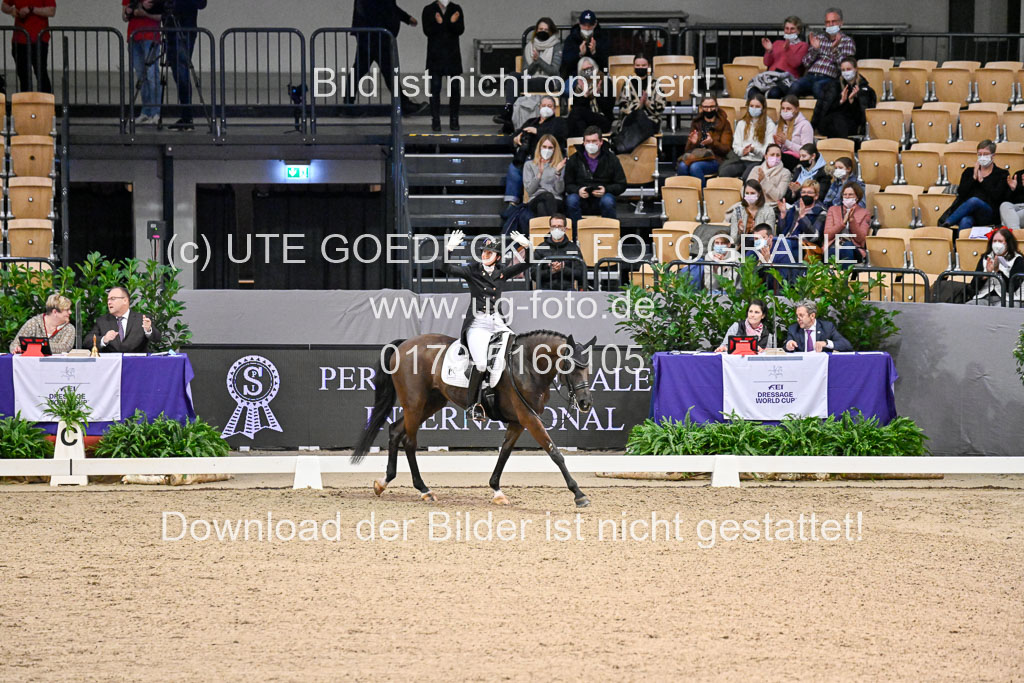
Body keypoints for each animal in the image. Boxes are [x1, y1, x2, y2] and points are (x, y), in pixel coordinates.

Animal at [350, 331, 596, 507]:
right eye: (570, 366)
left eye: (588, 368)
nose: (585, 403)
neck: (526, 365)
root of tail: (404, 344)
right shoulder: (529, 418)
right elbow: (555, 453)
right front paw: (579, 494)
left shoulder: (518, 422)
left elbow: (505, 452)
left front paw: (497, 491)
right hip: (415, 404)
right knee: (409, 442)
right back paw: (424, 490)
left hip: (431, 404)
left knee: (395, 430)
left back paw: (383, 483)